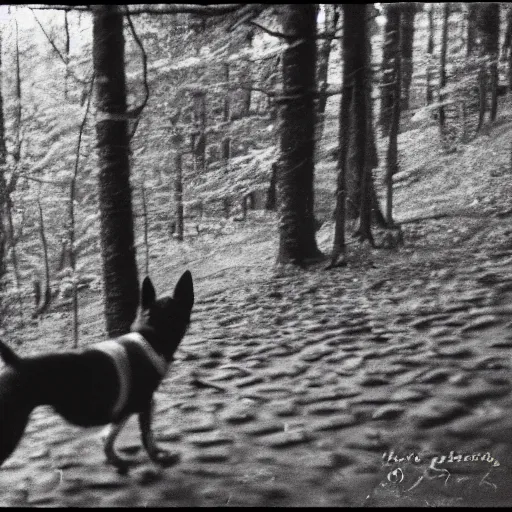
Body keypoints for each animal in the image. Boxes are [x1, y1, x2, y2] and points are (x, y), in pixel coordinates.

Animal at [0, 272, 194, 472]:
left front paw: (115, 460)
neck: (150, 337)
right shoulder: (144, 405)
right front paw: (158, 457)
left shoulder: (127, 408)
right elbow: (147, 435)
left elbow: (110, 436)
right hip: (10, 430)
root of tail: (15, 361)